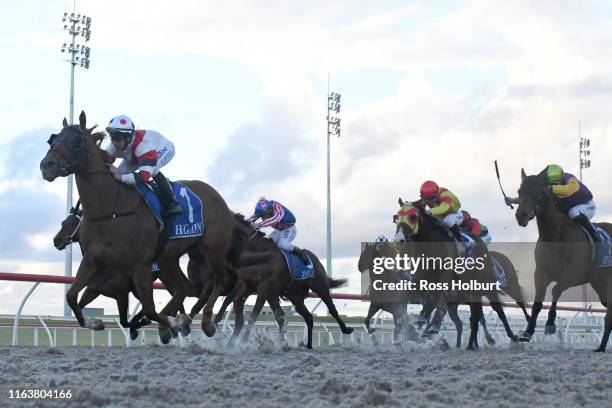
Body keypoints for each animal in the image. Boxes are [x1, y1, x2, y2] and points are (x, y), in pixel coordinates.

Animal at [39, 112, 246, 338]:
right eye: (53, 139)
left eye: (75, 141)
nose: (46, 165)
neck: (110, 209)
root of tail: (217, 197)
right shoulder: (93, 261)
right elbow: (72, 296)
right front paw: (95, 322)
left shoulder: (139, 267)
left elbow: (149, 309)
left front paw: (172, 322)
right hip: (168, 258)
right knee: (184, 288)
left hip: (213, 248)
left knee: (219, 279)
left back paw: (206, 322)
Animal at [512, 168, 608, 350]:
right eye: (519, 192)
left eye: (537, 193)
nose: (521, 216)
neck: (556, 236)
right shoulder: (540, 274)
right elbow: (537, 303)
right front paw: (527, 332)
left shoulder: (571, 275)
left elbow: (556, 291)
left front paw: (550, 324)